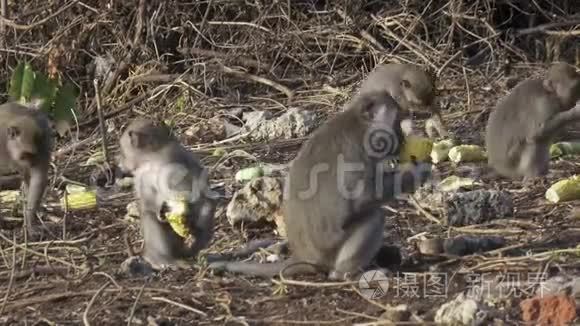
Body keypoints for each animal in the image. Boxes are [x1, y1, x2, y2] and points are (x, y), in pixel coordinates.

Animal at [0, 103, 52, 238]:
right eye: (25, 155)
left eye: (34, 155)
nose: (32, 163)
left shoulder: (44, 143)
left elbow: (37, 180)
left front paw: (30, 223)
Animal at [118, 117, 215, 270]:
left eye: (122, 151)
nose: (120, 163)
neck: (151, 157)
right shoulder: (141, 175)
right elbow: (148, 200)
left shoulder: (170, 159)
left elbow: (186, 185)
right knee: (151, 218)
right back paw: (161, 258)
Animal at [208, 90, 430, 280]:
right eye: (397, 122)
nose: (401, 141)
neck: (359, 122)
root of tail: (304, 256)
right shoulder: (358, 153)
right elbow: (363, 197)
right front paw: (416, 173)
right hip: (330, 251)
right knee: (374, 217)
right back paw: (346, 274)